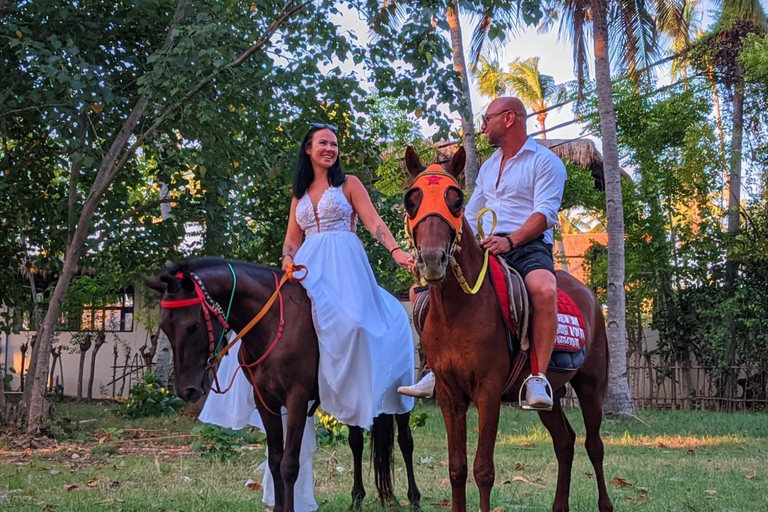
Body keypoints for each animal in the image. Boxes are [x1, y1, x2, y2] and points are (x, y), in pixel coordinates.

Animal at [144, 258, 420, 512]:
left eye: (193, 326)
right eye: (164, 326)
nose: (186, 390)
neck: (272, 324)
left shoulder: (296, 399)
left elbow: (289, 464)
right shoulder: (265, 400)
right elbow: (275, 460)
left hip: (398, 395)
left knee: (406, 442)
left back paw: (414, 499)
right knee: (356, 443)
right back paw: (356, 500)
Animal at [402, 146, 612, 512]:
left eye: (456, 200)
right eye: (411, 200)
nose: (431, 259)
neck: (458, 311)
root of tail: (586, 293)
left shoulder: (488, 392)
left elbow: (483, 470)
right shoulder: (449, 395)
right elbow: (457, 469)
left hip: (590, 385)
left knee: (594, 445)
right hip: (552, 395)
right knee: (565, 442)